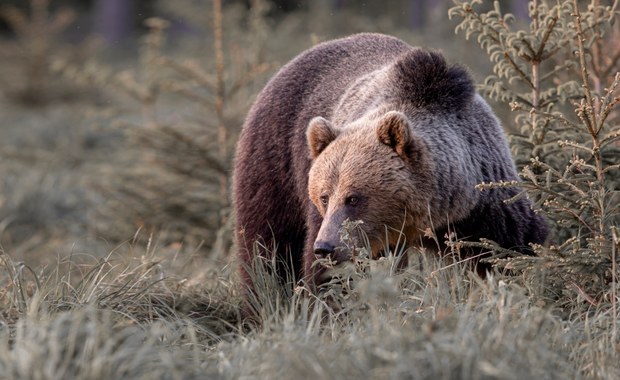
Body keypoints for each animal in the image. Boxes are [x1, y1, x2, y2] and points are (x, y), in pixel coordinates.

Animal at [232, 32, 548, 294]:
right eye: (324, 196)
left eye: (353, 197)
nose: (326, 247)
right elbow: (326, 276)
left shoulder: (484, 206)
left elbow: (513, 250)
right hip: (275, 158)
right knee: (267, 246)